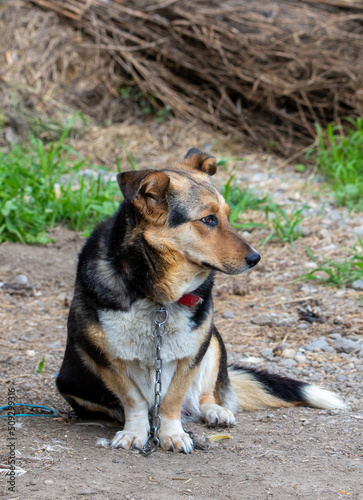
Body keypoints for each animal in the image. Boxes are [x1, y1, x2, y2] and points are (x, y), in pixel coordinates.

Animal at [57, 146, 346, 454]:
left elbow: (172, 398)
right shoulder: (101, 354)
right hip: (71, 384)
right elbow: (134, 399)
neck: (156, 295)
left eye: (228, 215)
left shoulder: (194, 348)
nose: (256, 258)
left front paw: (172, 434)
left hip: (215, 339)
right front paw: (135, 433)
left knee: (204, 396)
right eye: (208, 219)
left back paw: (215, 412)